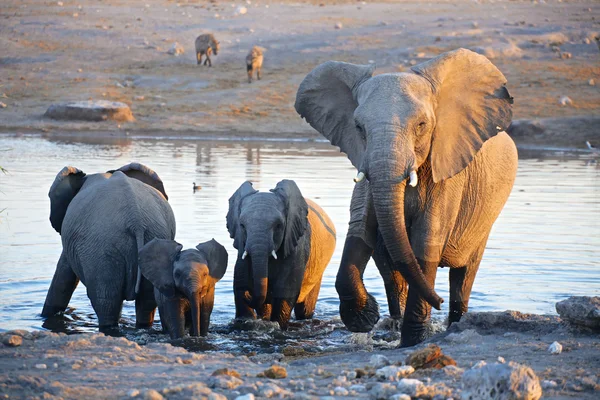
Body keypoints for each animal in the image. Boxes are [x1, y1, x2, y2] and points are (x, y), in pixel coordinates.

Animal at [40, 162, 173, 332]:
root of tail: (136, 221)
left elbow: (63, 276)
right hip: (154, 238)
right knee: (146, 300)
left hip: (101, 248)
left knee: (105, 301)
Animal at [226, 180, 336, 330]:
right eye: (242, 225)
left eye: (278, 226)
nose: (250, 296)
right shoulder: (242, 248)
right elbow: (240, 286)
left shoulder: (296, 247)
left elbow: (285, 292)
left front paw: (279, 325)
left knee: (304, 309)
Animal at [292, 48, 516, 346]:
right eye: (358, 127)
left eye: (421, 125)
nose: (438, 302)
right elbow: (360, 230)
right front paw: (366, 318)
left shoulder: (447, 174)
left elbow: (425, 241)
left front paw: (413, 340)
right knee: (393, 273)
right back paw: (393, 325)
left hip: (484, 218)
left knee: (463, 275)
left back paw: (453, 321)